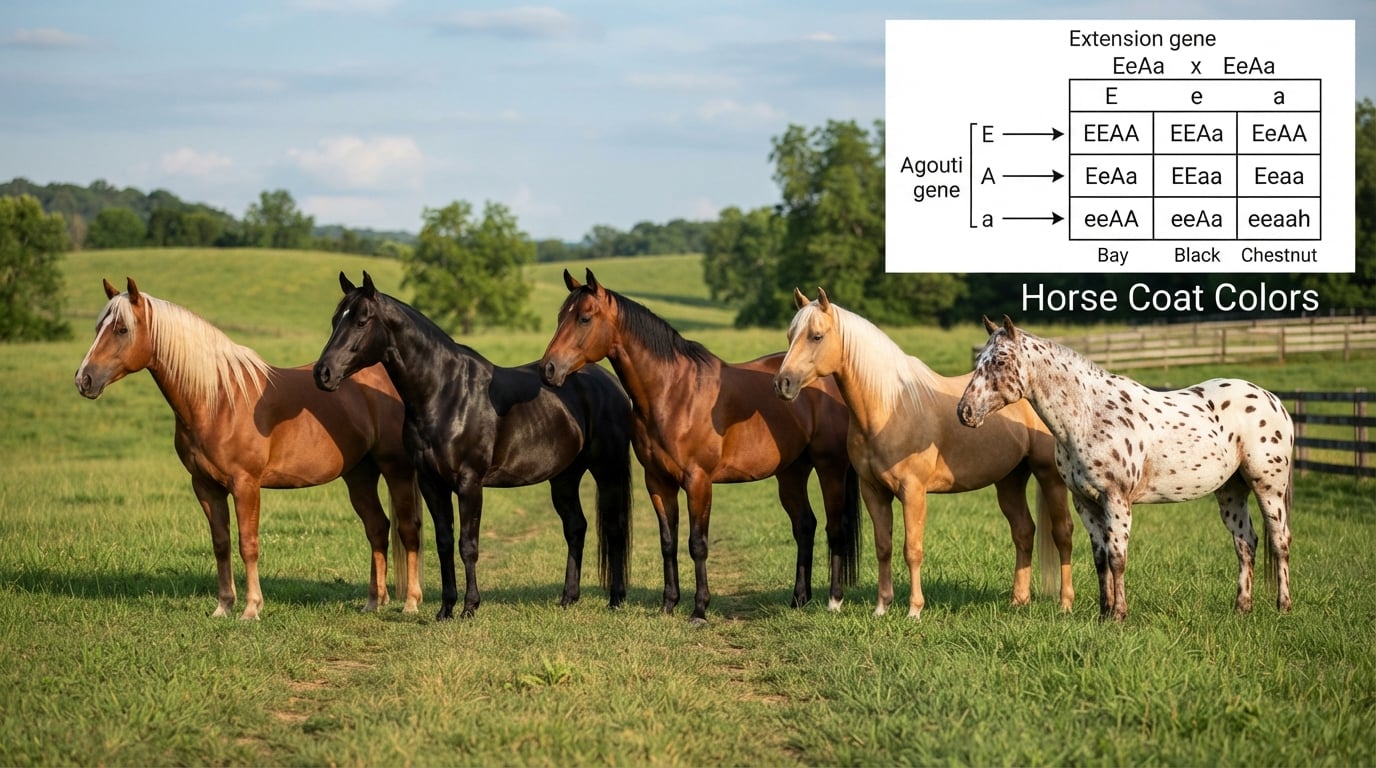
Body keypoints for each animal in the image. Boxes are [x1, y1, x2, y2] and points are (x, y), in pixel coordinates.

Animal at [74, 277, 423, 620]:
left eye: (122, 329)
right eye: (98, 327)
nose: (83, 379)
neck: (218, 400)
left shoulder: (246, 484)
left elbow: (248, 543)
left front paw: (251, 607)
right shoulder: (205, 486)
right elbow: (221, 544)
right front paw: (223, 606)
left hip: (396, 470)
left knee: (407, 529)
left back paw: (411, 602)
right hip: (359, 474)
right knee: (377, 528)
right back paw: (373, 601)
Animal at [313, 272, 634, 620]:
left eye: (361, 321)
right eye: (335, 320)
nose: (323, 373)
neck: (446, 394)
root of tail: (607, 381)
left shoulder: (470, 483)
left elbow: (468, 544)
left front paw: (469, 606)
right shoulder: (431, 483)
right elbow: (443, 542)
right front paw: (445, 608)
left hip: (608, 470)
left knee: (614, 528)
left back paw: (616, 599)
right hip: (564, 476)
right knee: (576, 527)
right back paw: (568, 598)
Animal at [539, 269, 861, 625]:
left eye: (584, 318)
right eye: (560, 317)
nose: (548, 369)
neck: (673, 393)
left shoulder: (698, 482)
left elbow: (697, 543)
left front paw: (699, 610)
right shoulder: (658, 482)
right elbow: (668, 541)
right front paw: (668, 604)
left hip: (829, 468)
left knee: (835, 528)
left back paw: (834, 599)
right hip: (791, 472)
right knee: (805, 526)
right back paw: (798, 599)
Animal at [774, 289, 1076, 619]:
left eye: (816, 336)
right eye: (790, 335)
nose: (782, 383)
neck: (889, 408)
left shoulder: (913, 492)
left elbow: (912, 549)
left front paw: (914, 610)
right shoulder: (873, 491)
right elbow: (884, 547)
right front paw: (882, 607)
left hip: (1050, 476)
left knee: (1062, 532)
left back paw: (1065, 603)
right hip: (1009, 479)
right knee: (1023, 531)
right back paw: (1019, 600)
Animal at [958, 315, 1294, 621]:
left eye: (1000, 360)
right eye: (980, 360)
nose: (965, 412)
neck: (1090, 415)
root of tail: (1273, 400)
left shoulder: (1116, 500)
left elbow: (1117, 557)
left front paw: (1119, 614)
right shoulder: (1085, 502)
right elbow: (1100, 558)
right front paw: (1104, 613)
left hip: (1268, 488)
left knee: (1280, 541)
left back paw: (1284, 607)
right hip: (1231, 492)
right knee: (1246, 543)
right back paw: (1242, 608)